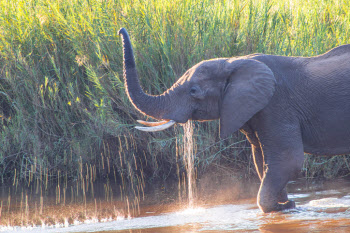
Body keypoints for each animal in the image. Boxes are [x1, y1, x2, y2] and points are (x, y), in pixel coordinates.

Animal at [117, 27, 350, 213]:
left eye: (194, 91)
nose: (121, 30)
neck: (233, 62)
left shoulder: (277, 105)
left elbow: (287, 160)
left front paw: (282, 207)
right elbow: (261, 161)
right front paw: (285, 205)